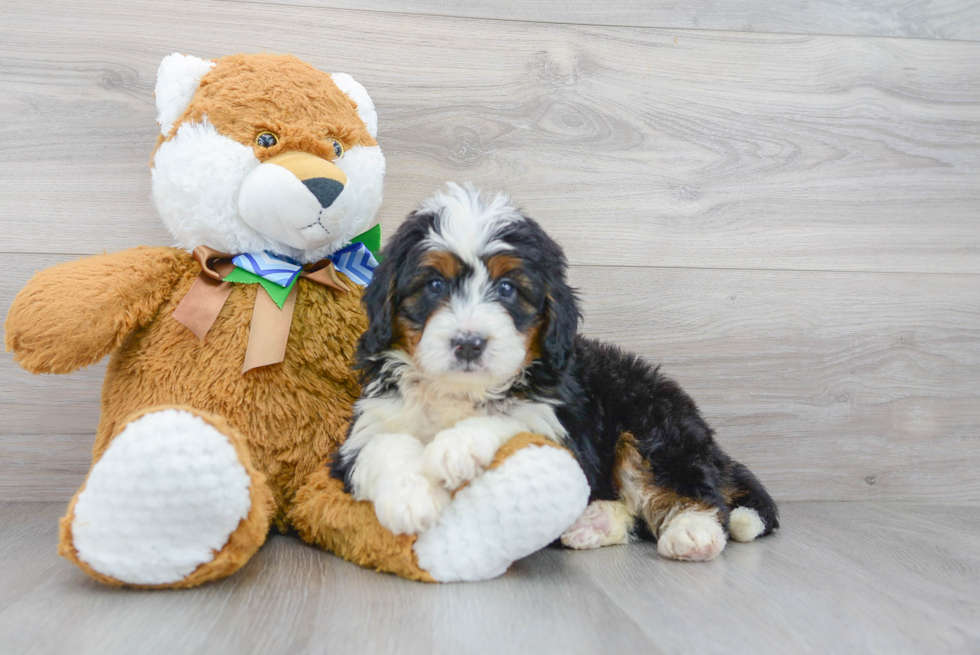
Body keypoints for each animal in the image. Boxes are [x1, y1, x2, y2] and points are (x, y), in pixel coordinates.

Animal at [336, 186, 780, 564]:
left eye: (507, 289)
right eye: (433, 284)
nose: (469, 343)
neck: (460, 394)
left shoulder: (558, 423)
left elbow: (513, 417)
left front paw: (456, 447)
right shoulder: (367, 426)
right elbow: (382, 445)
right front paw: (409, 498)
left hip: (652, 424)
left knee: (690, 490)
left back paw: (692, 532)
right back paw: (591, 523)